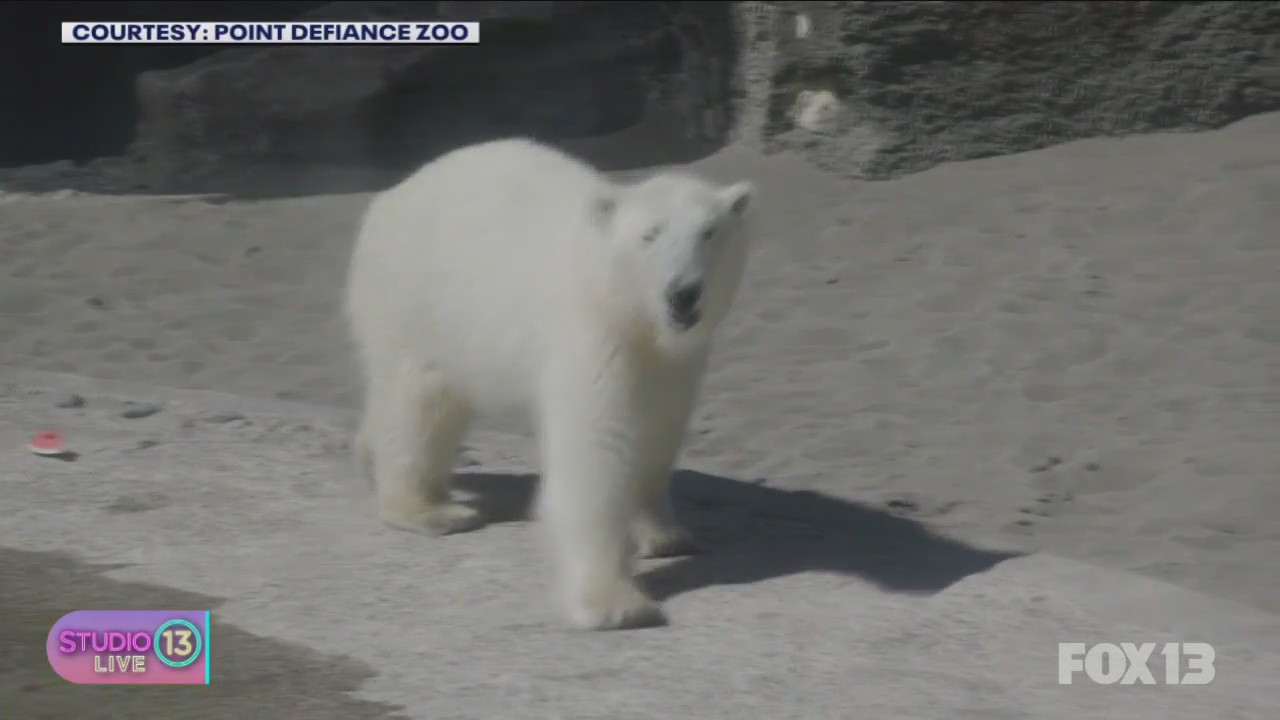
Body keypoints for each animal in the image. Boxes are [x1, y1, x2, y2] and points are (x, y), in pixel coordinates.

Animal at [343, 137, 755, 630]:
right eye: (650, 236)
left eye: (709, 233)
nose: (684, 294)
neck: (618, 298)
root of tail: (387, 200)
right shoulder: (595, 337)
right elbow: (595, 451)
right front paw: (614, 603)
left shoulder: (675, 362)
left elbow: (658, 433)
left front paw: (665, 535)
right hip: (416, 300)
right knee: (418, 404)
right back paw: (429, 509)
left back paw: (374, 460)